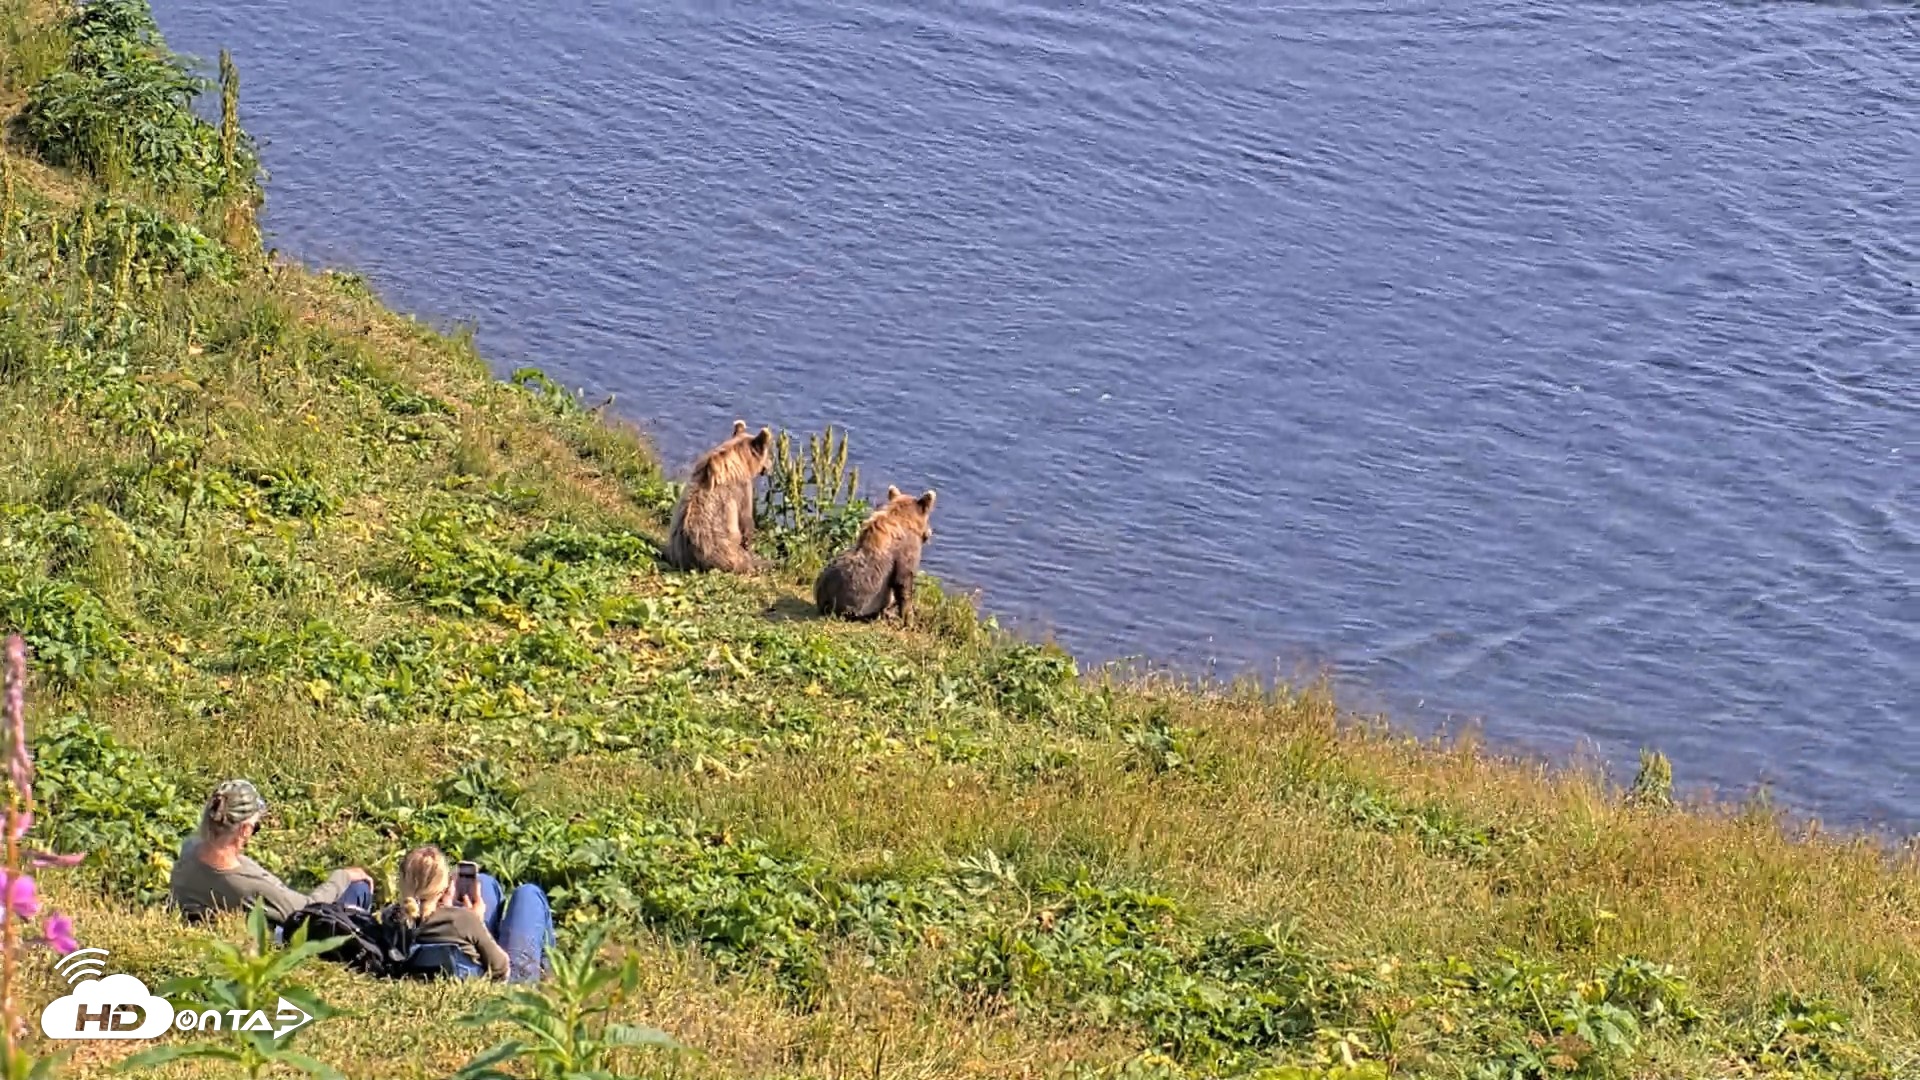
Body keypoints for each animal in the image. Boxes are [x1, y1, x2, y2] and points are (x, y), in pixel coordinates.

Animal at [662, 419, 773, 574]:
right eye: (768, 453)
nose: (771, 466)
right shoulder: (741, 488)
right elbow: (745, 518)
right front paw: (749, 543)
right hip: (724, 552)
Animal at [814, 486, 937, 622]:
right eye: (928, 518)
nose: (930, 532)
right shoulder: (906, 552)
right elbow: (903, 582)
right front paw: (908, 617)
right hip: (859, 605)